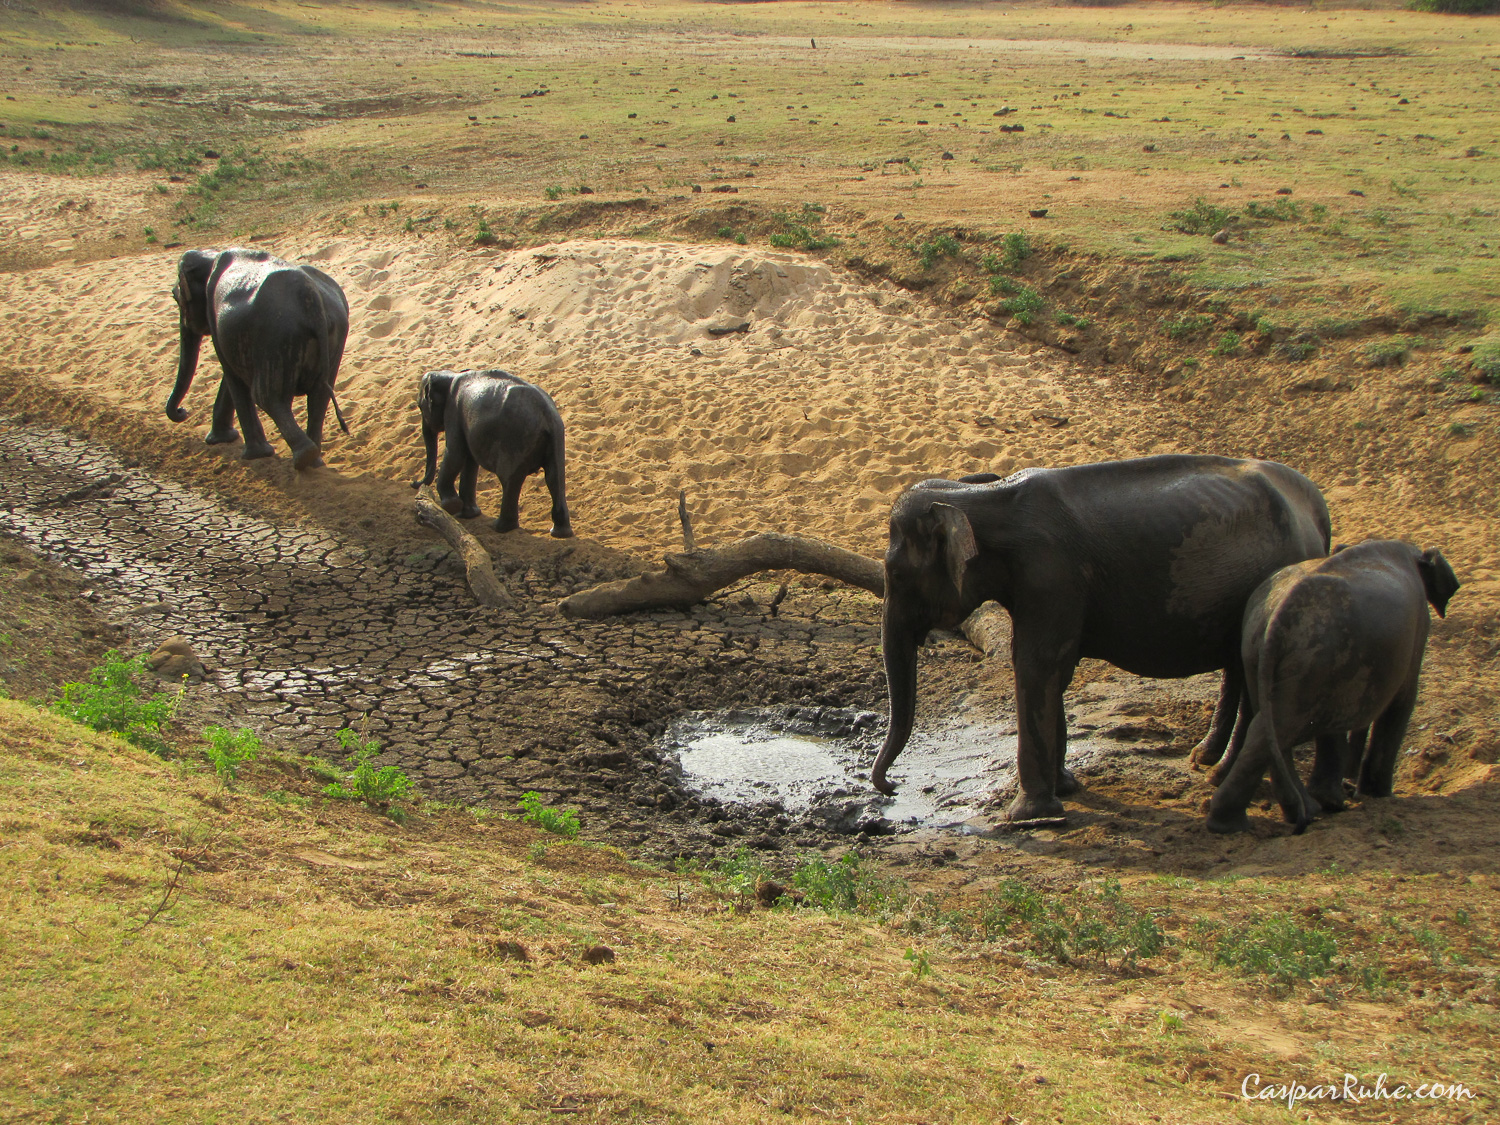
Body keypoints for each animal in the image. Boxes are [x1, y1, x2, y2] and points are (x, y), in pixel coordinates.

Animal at [167, 247, 350, 470]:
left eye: (176, 298)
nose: (182, 411)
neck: (210, 255)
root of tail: (311, 299)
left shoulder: (215, 316)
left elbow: (231, 373)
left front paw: (252, 454)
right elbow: (232, 373)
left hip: (276, 337)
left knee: (267, 396)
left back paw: (303, 458)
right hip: (329, 336)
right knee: (319, 395)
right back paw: (314, 462)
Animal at [417, 368, 574, 538]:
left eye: (420, 407)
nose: (415, 484)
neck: (451, 374)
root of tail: (547, 415)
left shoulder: (453, 411)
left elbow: (455, 453)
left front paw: (451, 506)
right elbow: (470, 460)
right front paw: (467, 515)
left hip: (514, 441)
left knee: (510, 479)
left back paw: (500, 528)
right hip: (556, 436)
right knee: (554, 477)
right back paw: (560, 533)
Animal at [872, 454, 1331, 824]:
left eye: (896, 575)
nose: (893, 788)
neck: (981, 497)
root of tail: (1318, 509)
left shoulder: (1051, 575)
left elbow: (1038, 664)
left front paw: (1030, 816)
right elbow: (1054, 671)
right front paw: (1066, 787)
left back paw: (1219, 775)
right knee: (1238, 668)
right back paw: (1205, 760)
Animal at [1205, 539, 1459, 835]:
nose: (1352, 785)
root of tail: (1277, 618)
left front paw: (1339, 797)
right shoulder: (1417, 631)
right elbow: (1402, 700)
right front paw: (1377, 796)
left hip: (1261, 654)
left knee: (1269, 725)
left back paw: (1299, 811)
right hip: (1311, 658)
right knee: (1279, 726)